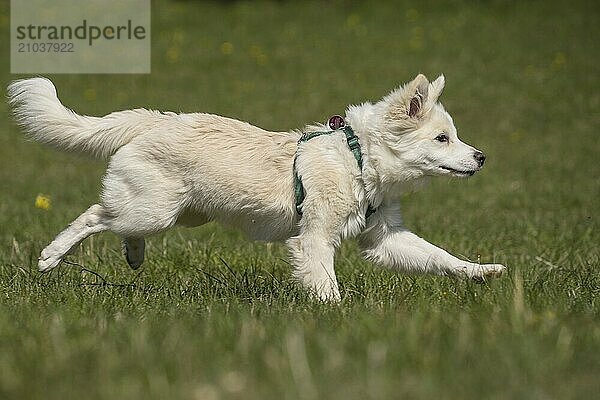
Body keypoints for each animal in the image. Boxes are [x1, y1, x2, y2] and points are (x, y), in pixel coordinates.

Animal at [8, 74, 506, 300]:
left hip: (182, 214)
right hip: (153, 210)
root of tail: (152, 120)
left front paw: (481, 272)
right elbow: (326, 283)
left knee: (121, 228)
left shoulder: (384, 238)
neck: (358, 158)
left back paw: (133, 257)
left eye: (455, 135)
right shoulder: (314, 238)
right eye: (442, 139)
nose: (483, 157)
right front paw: (337, 313)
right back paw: (52, 256)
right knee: (95, 216)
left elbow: (440, 258)